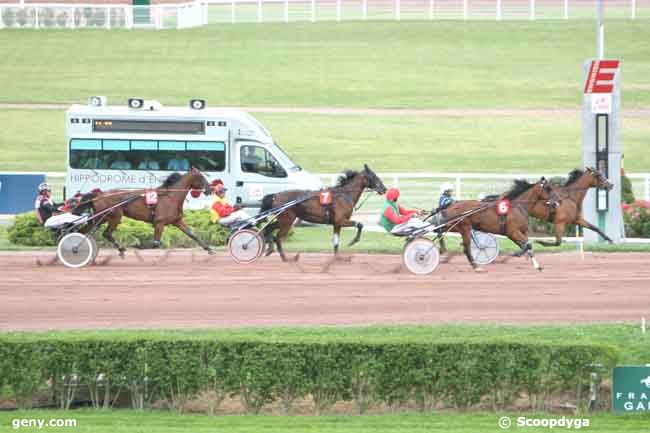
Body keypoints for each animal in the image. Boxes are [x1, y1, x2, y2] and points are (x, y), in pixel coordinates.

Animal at [75, 167, 213, 255]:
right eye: (201, 177)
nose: (210, 189)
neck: (171, 197)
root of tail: (99, 195)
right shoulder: (159, 223)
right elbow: (156, 243)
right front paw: (137, 245)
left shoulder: (177, 221)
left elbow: (192, 234)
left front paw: (209, 249)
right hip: (113, 216)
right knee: (105, 233)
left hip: (102, 218)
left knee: (85, 231)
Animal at [256, 165, 384, 260]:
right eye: (374, 176)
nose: (384, 189)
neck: (343, 195)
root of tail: (276, 195)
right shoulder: (341, 221)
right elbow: (360, 224)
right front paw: (353, 241)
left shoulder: (337, 224)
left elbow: (336, 242)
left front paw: (338, 258)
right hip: (287, 221)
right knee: (277, 237)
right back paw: (285, 258)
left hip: (283, 220)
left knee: (269, 228)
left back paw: (269, 249)